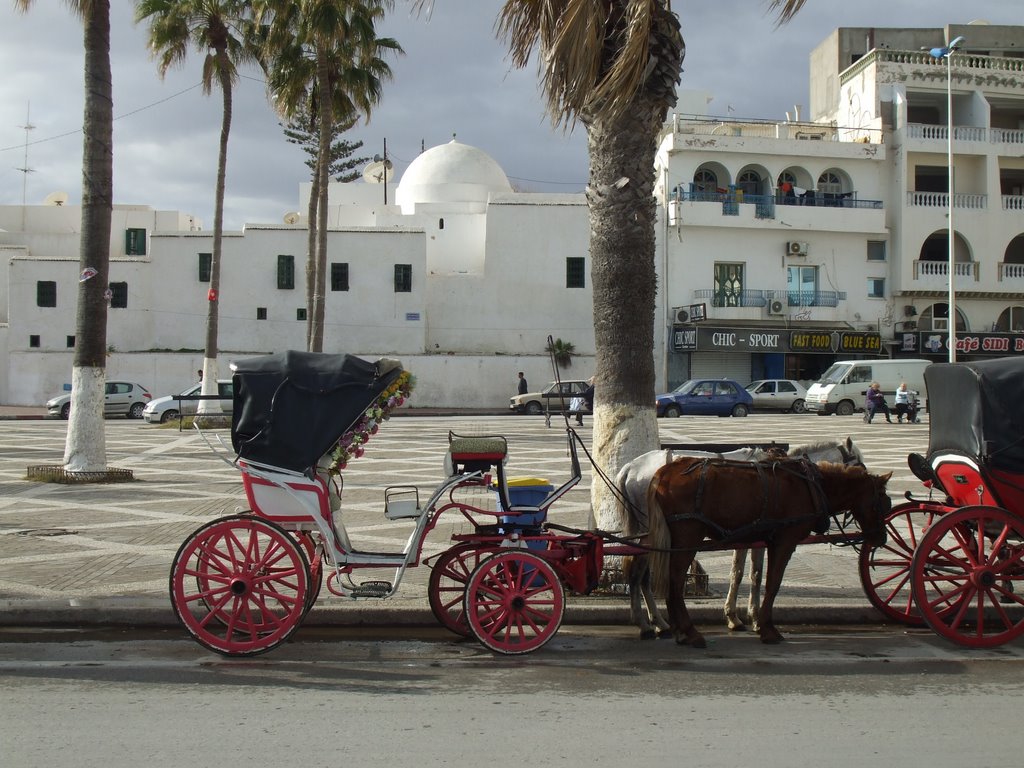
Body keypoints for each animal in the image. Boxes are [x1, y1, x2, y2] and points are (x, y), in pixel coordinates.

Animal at [614, 436, 864, 638]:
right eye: (861, 468)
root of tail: (630, 467)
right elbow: (756, 574)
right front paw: (755, 618)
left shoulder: (745, 536)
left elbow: (738, 573)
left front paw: (734, 617)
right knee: (639, 571)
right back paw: (648, 623)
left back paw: (656, 622)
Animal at [651, 456, 892, 651]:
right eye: (883, 501)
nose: (881, 538)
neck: (813, 485)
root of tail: (665, 472)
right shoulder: (785, 540)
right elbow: (773, 583)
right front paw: (767, 629)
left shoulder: (770, 541)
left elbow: (760, 578)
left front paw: (758, 622)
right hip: (688, 536)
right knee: (675, 580)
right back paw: (689, 632)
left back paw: (679, 631)